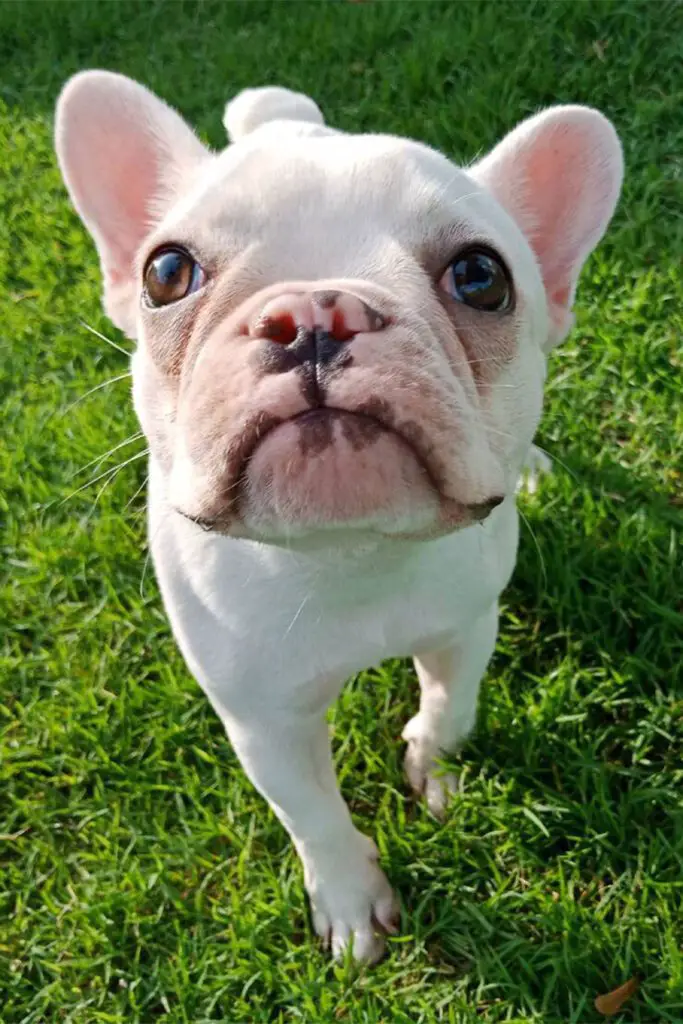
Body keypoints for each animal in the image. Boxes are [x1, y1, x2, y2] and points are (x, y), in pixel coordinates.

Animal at [54, 74, 626, 958]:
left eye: (480, 277)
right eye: (167, 272)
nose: (315, 312)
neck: (349, 554)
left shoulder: (466, 628)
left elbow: (447, 709)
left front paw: (436, 770)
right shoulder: (265, 719)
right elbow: (312, 815)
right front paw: (352, 903)